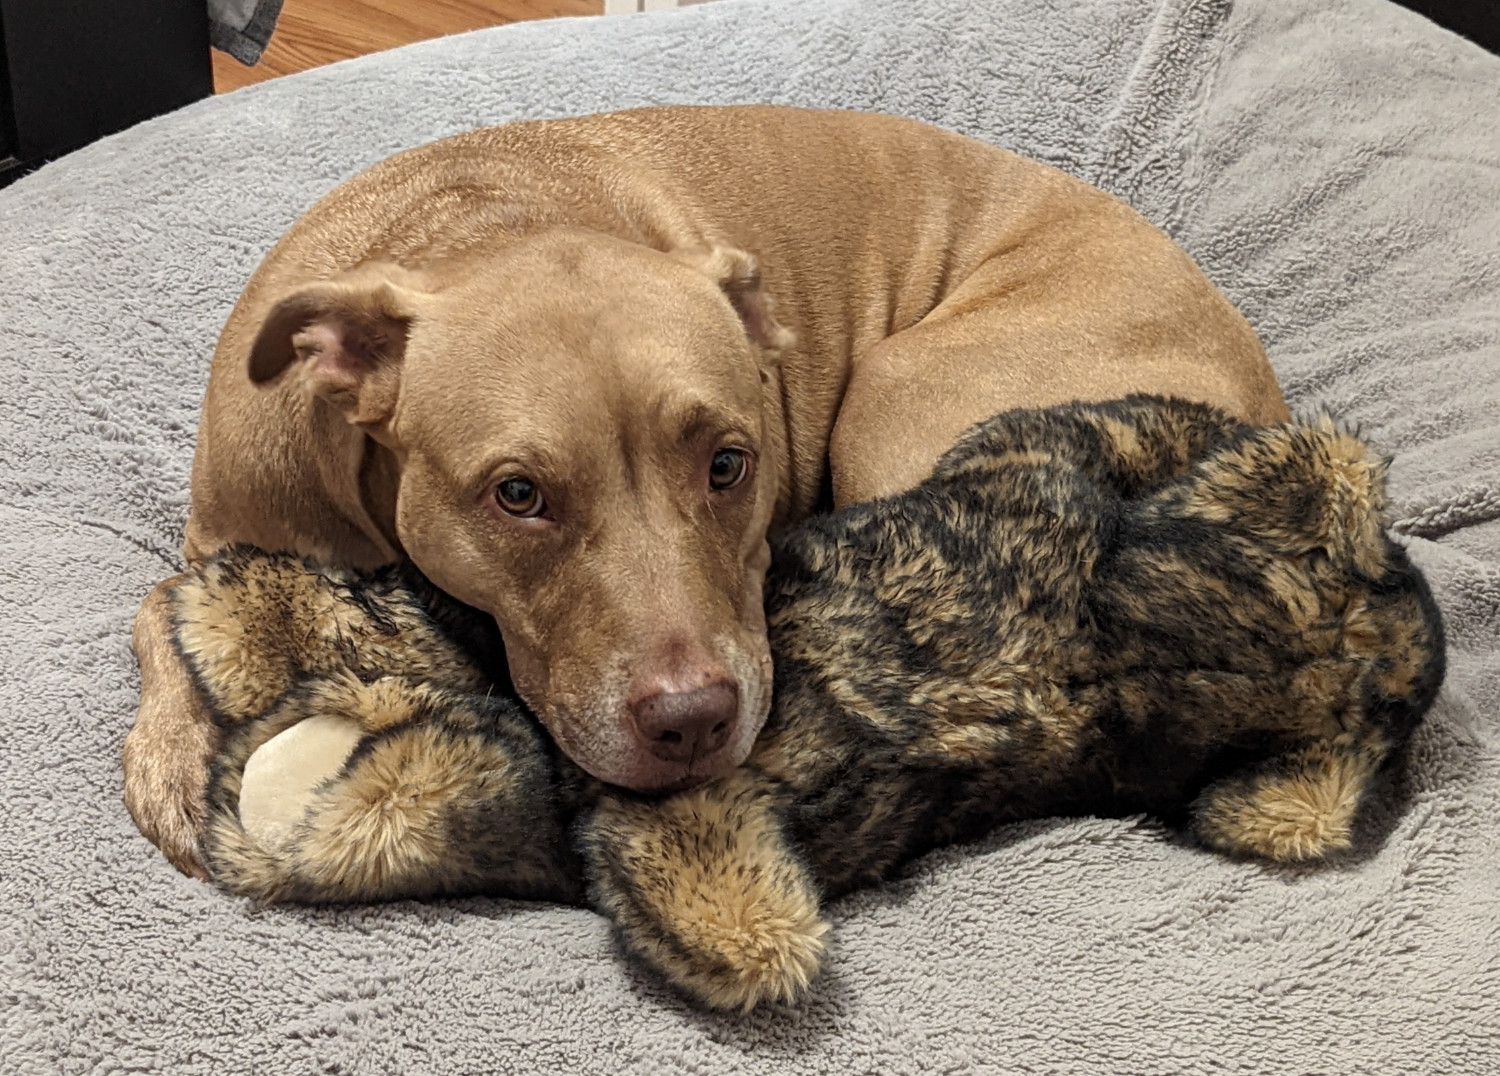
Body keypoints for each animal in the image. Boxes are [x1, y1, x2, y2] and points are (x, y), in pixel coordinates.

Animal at [126, 102, 1290, 870]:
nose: (691, 721)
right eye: (517, 495)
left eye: (731, 463)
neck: (481, 229)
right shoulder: (227, 527)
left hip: (899, 395)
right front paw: (174, 749)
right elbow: (158, 602)